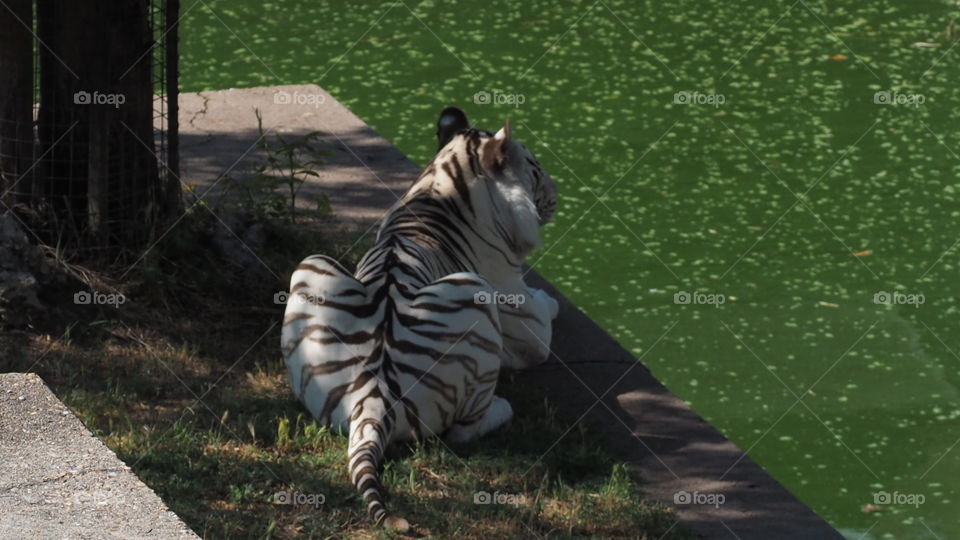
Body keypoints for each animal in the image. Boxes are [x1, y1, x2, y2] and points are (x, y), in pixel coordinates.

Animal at [280, 106, 559, 531]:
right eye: (537, 169)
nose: (558, 196)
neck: (445, 181)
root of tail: (373, 400)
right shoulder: (525, 316)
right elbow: (545, 316)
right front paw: (553, 300)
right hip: (473, 292)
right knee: (464, 431)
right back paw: (502, 408)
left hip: (311, 267)